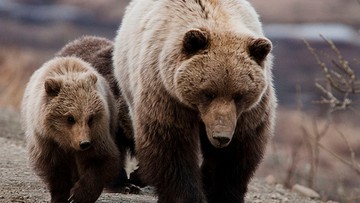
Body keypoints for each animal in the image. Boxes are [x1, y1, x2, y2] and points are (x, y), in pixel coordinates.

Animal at [22, 56, 121, 202]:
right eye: (70, 118)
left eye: (90, 118)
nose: (84, 143)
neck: (66, 142)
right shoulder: (46, 140)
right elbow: (54, 169)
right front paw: (62, 196)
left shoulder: (97, 134)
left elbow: (100, 160)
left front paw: (78, 195)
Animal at [114, 0, 278, 202]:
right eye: (208, 93)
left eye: (239, 95)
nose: (221, 137)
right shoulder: (166, 93)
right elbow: (172, 145)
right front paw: (185, 195)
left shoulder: (248, 112)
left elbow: (235, 152)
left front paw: (221, 193)